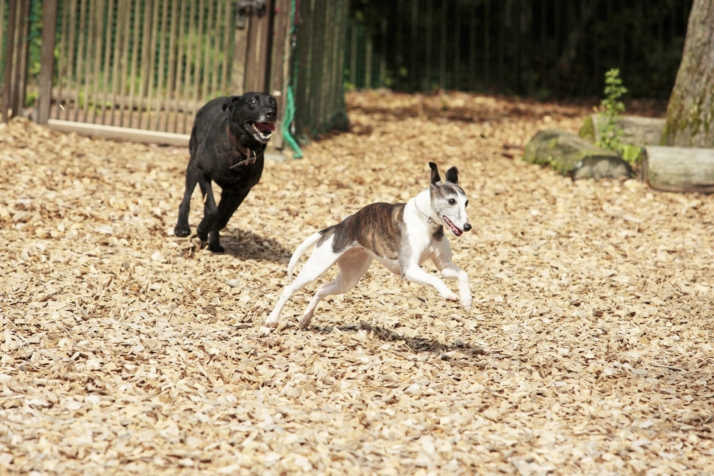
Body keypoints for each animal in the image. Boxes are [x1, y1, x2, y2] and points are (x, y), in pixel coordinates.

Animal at [174, 92, 276, 253]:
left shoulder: (241, 190)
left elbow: (223, 217)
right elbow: (212, 209)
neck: (242, 149)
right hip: (192, 167)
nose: (271, 113)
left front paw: (208, 232)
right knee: (186, 197)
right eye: (252, 102)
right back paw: (182, 227)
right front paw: (201, 231)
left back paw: (214, 243)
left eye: (273, 103)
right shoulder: (202, 173)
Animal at [264, 162, 470, 330]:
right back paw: (272, 320)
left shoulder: (444, 266)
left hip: (350, 277)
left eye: (466, 203)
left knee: (321, 288)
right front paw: (449, 294)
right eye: (451, 201)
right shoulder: (409, 269)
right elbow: (436, 280)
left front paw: (467, 299)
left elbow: (462, 274)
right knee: (289, 289)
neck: (426, 221)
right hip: (315, 268)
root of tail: (336, 227)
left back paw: (306, 319)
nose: (468, 227)